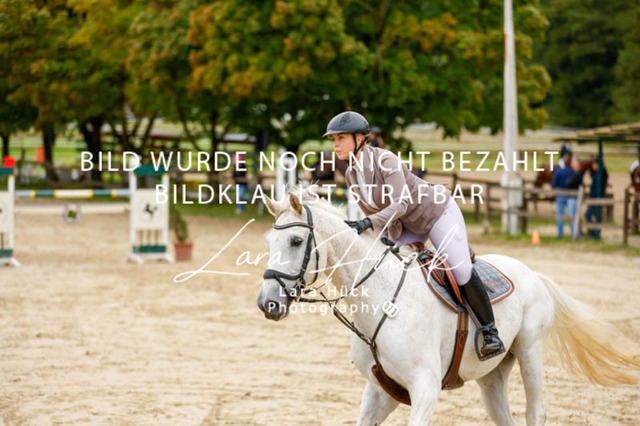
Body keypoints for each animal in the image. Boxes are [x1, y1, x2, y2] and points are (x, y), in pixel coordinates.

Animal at [256, 190, 639, 425]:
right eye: (268, 241)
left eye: (296, 240)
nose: (266, 302)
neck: (381, 300)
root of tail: (533, 273)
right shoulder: (381, 391)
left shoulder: (424, 389)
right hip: (492, 376)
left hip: (531, 353)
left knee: (536, 412)